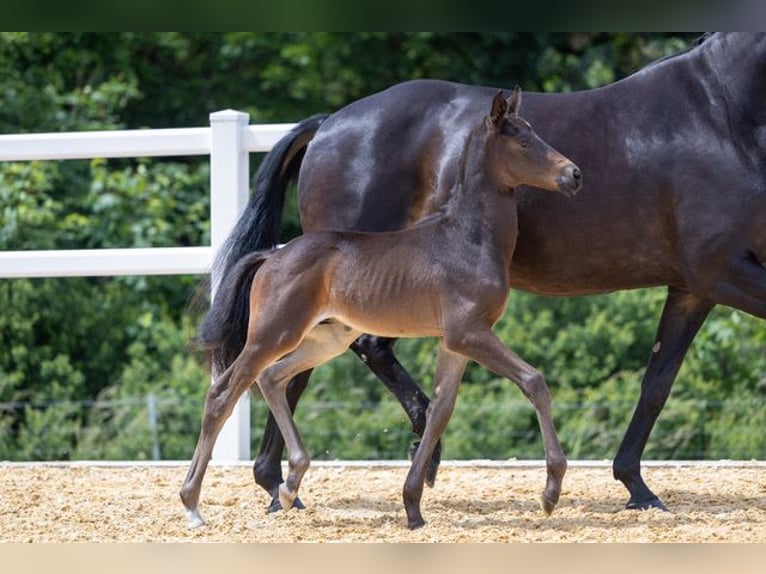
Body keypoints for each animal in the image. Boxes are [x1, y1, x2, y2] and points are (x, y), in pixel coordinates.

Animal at [182, 90, 584, 532]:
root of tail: (272, 255)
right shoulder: (470, 333)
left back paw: (289, 485)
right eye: (524, 141)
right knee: (224, 392)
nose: (574, 174)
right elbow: (534, 381)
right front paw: (550, 492)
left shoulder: (456, 342)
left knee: (272, 379)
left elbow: (440, 409)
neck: (468, 240)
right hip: (272, 334)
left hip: (327, 339)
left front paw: (413, 506)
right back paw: (193, 503)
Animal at [210, 33, 766, 512]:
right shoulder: (721, 270)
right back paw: (298, 482)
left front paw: (636, 486)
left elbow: (656, 385)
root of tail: (329, 125)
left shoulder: (692, 286)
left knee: (318, 361)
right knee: (302, 365)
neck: (722, 113)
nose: (574, 175)